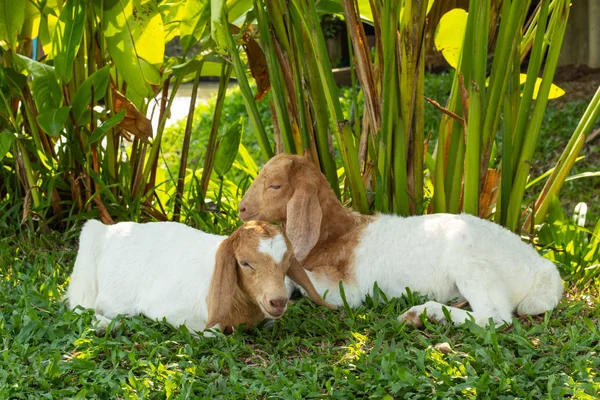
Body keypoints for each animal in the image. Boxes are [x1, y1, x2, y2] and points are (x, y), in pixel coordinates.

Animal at [69, 219, 338, 334]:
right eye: (244, 263)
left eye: (287, 261)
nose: (278, 301)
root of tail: (107, 228)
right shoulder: (167, 310)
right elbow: (213, 332)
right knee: (79, 306)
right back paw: (106, 325)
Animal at [238, 155, 564, 326]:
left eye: (275, 186)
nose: (241, 208)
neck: (336, 234)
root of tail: (543, 271)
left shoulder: (345, 292)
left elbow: (303, 283)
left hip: (470, 263)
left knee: (495, 317)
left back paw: (422, 313)